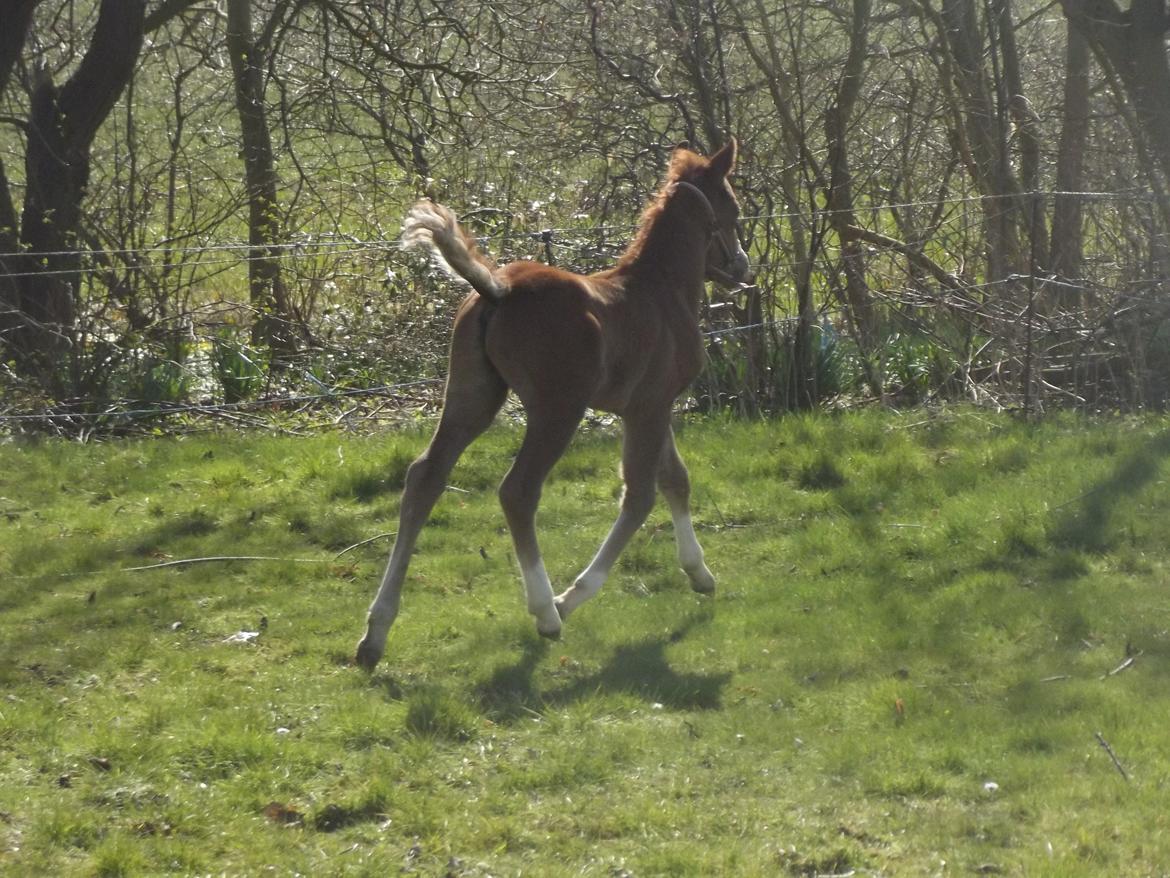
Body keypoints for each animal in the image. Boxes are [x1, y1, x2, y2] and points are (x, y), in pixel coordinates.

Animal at [355, 140, 751, 669]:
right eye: (733, 210)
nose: (742, 268)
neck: (660, 291)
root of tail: (499, 289)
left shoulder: (651, 406)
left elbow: (675, 480)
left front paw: (700, 573)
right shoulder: (648, 408)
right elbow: (640, 495)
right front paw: (573, 596)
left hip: (471, 397)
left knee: (425, 478)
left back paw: (376, 631)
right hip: (557, 410)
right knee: (518, 491)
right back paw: (546, 612)